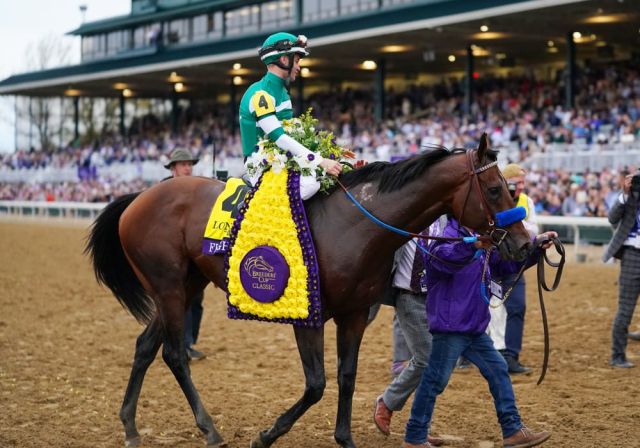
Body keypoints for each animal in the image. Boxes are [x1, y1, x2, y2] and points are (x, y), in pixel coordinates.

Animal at [86, 134, 532, 448]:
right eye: (495, 189)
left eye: (511, 188)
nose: (524, 244)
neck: (353, 224)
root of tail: (138, 198)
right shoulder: (307, 317)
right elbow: (316, 384)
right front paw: (266, 435)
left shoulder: (355, 314)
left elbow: (346, 376)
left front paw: (345, 438)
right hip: (169, 287)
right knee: (175, 354)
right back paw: (209, 429)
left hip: (181, 286)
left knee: (145, 347)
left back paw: (130, 426)